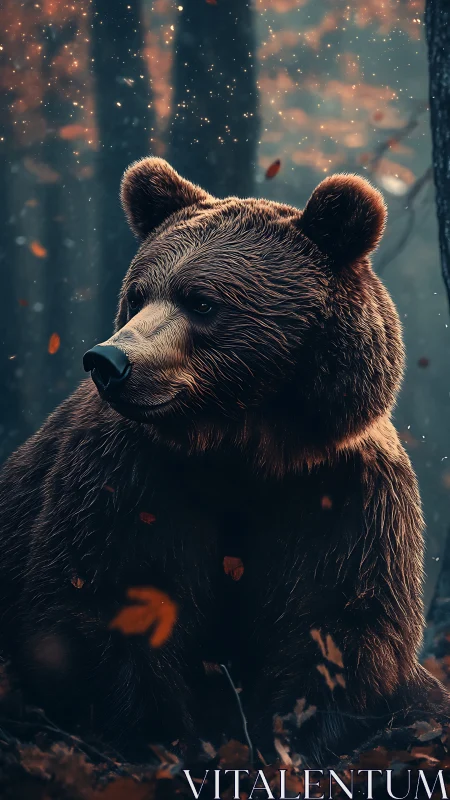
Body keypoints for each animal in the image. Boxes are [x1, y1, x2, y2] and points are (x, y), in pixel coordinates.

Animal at [0, 157, 447, 765]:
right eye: (137, 295)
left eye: (201, 301)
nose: (108, 361)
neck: (242, 448)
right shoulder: (127, 481)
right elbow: (105, 600)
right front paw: (165, 741)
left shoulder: (340, 493)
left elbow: (337, 623)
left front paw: (288, 745)